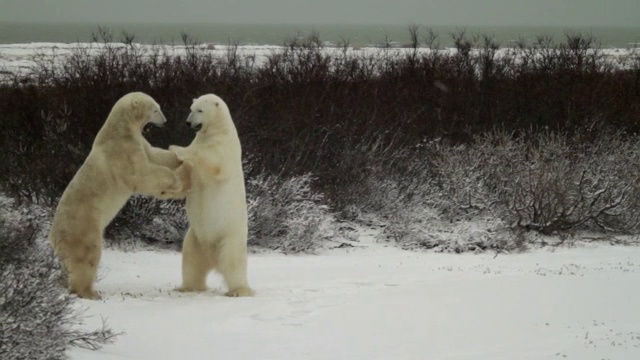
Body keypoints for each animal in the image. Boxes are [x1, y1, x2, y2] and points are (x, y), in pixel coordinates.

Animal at [48, 91, 184, 300]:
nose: (165, 121)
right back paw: (89, 292)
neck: (120, 130)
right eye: (156, 109)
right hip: (83, 227)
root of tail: (53, 236)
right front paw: (175, 180)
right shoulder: (122, 152)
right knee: (87, 255)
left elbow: (156, 155)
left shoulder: (138, 142)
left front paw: (180, 156)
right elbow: (141, 173)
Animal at [162, 94, 252, 296]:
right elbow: (186, 178)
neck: (216, 129)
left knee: (233, 261)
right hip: (195, 238)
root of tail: (213, 259)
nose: (188, 123)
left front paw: (175, 148)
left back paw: (239, 290)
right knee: (190, 262)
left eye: (200, 110)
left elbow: (212, 160)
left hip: (229, 237)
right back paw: (187, 287)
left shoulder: (224, 146)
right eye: (191, 108)